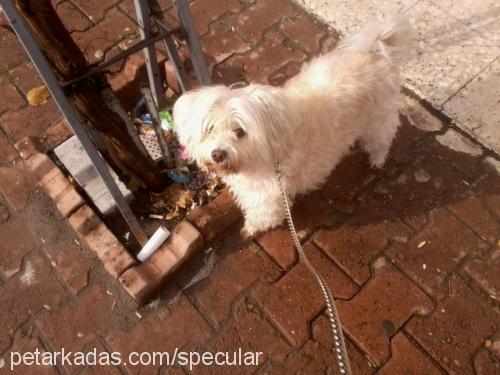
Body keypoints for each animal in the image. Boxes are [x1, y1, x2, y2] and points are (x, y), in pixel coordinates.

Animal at [174, 14, 416, 238]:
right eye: (210, 128)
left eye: (240, 132)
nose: (217, 154)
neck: (267, 151)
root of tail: (376, 49)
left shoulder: (268, 195)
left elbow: (263, 215)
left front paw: (251, 228)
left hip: (379, 118)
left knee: (382, 139)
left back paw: (377, 159)